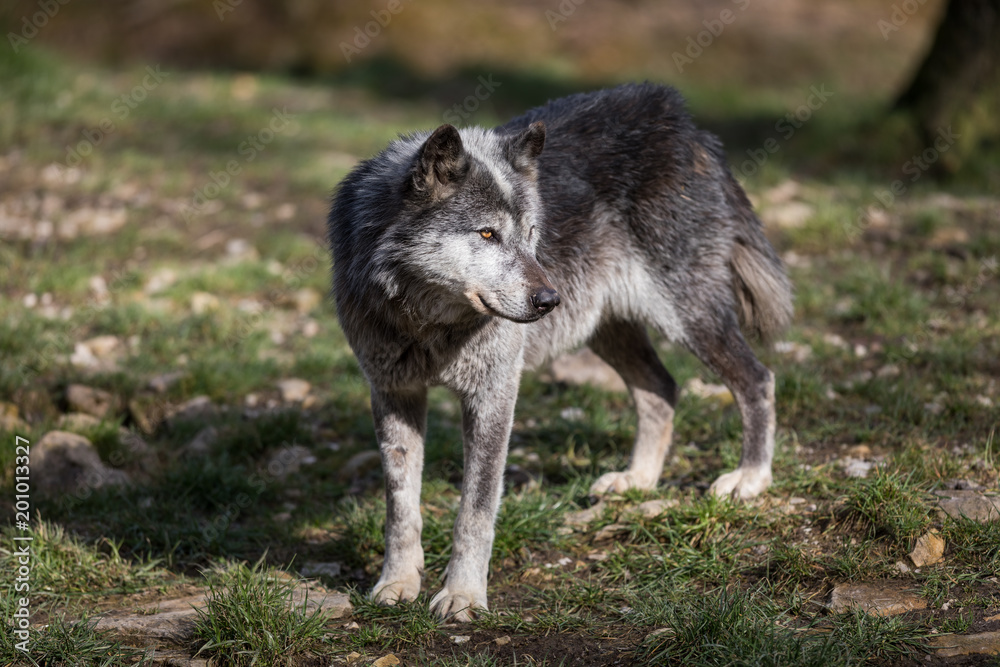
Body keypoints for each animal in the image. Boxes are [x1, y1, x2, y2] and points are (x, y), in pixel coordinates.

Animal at [328, 82, 792, 621]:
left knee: (757, 379)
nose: (549, 300)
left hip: (690, 318)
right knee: (662, 388)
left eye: (532, 235)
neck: (427, 321)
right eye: (487, 233)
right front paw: (397, 583)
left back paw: (750, 479)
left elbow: (475, 511)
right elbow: (401, 507)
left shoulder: (494, 395)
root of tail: (680, 119)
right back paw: (639, 479)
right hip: (608, 329)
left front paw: (464, 596)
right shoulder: (393, 394)